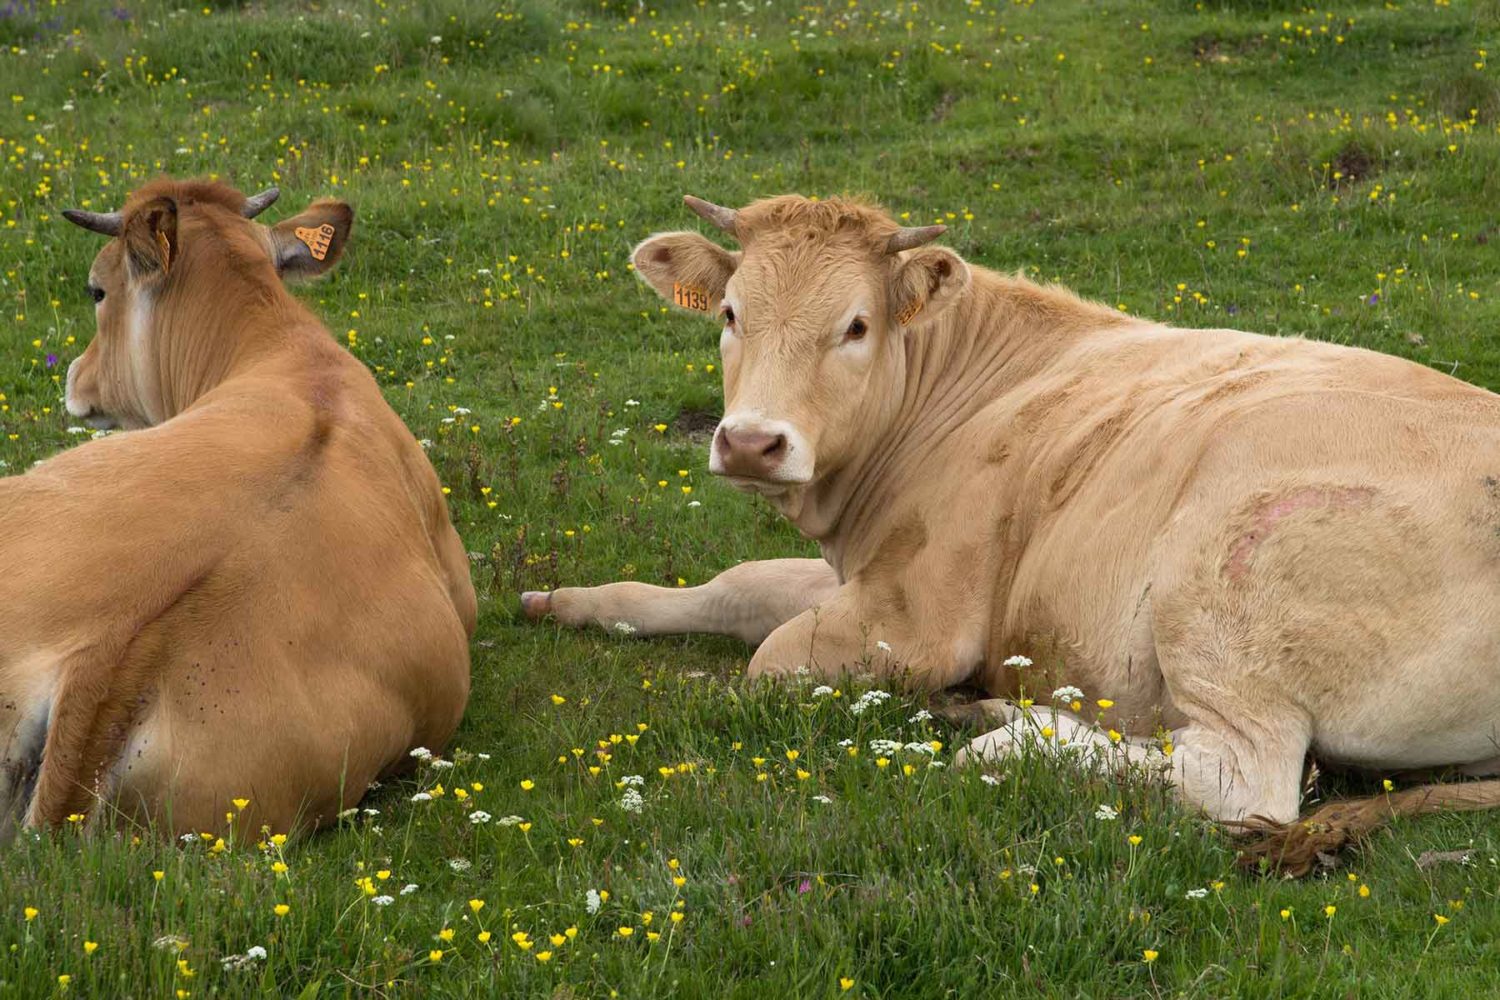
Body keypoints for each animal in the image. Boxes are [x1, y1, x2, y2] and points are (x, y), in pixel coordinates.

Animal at [531, 191, 1500, 869]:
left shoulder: (921, 612)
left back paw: (1006, 733)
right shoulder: (865, 570)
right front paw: (561, 600)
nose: (751, 441)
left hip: (1227, 567)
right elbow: (736, 588)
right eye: (731, 314)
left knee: (1238, 778)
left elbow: (769, 663)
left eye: (856, 325)